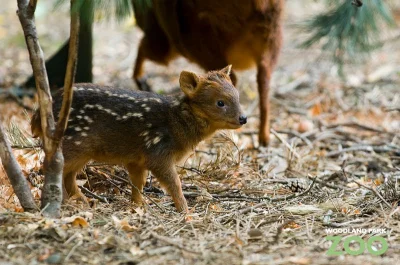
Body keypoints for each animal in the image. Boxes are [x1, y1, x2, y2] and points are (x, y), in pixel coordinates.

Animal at [32, 66, 247, 212]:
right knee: (52, 167)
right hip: (74, 143)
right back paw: (64, 203)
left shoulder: (136, 159)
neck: (176, 123)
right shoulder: (158, 153)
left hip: (82, 150)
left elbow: (138, 182)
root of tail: (37, 117)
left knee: (68, 174)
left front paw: (138, 206)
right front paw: (185, 211)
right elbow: (174, 183)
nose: (243, 118)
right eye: (220, 102)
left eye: (238, 96)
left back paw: (82, 201)